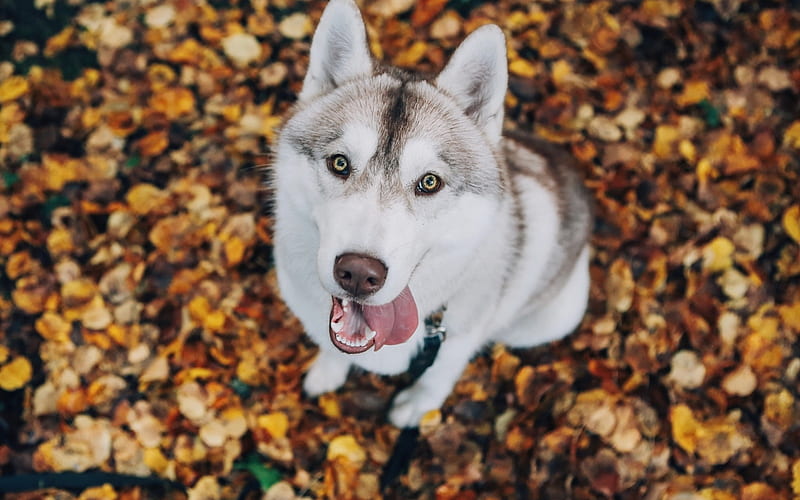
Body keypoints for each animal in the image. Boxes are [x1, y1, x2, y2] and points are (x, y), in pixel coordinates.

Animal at [272, 0, 592, 428]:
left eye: (429, 182)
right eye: (339, 163)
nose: (358, 272)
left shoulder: (458, 340)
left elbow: (438, 376)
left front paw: (417, 406)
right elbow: (331, 347)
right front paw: (327, 372)